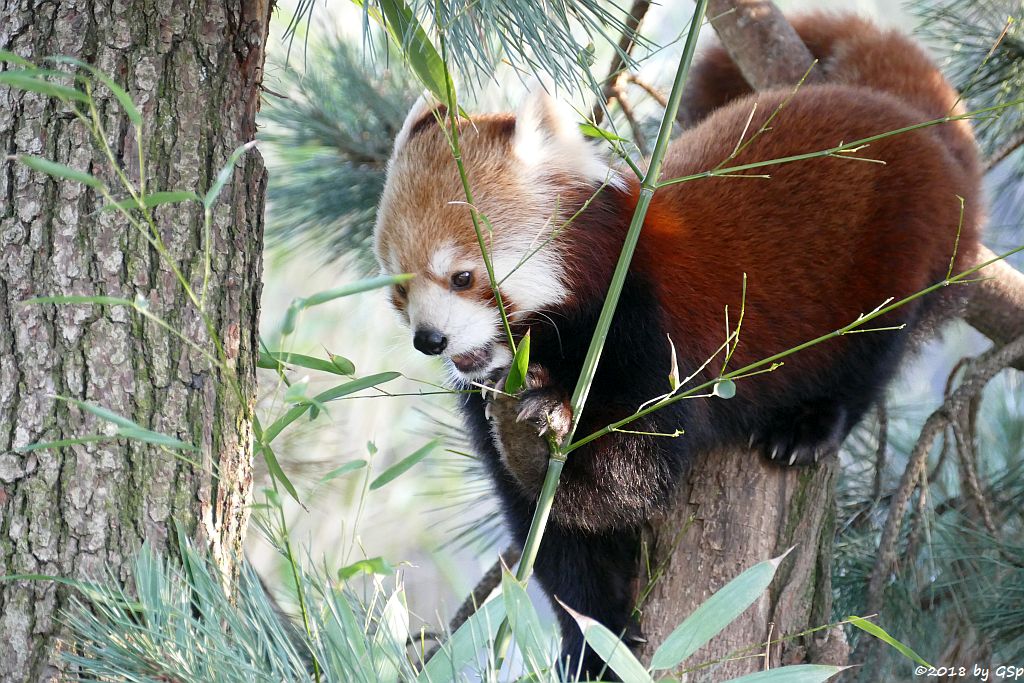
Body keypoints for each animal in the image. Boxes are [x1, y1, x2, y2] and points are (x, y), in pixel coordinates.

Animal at [372, 10, 978, 679]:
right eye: (399, 287)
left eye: (462, 277)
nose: (431, 340)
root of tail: (905, 117)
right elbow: (557, 542)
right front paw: (594, 642)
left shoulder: (643, 330)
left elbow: (635, 474)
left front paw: (536, 438)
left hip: (894, 255)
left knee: (868, 357)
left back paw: (808, 425)